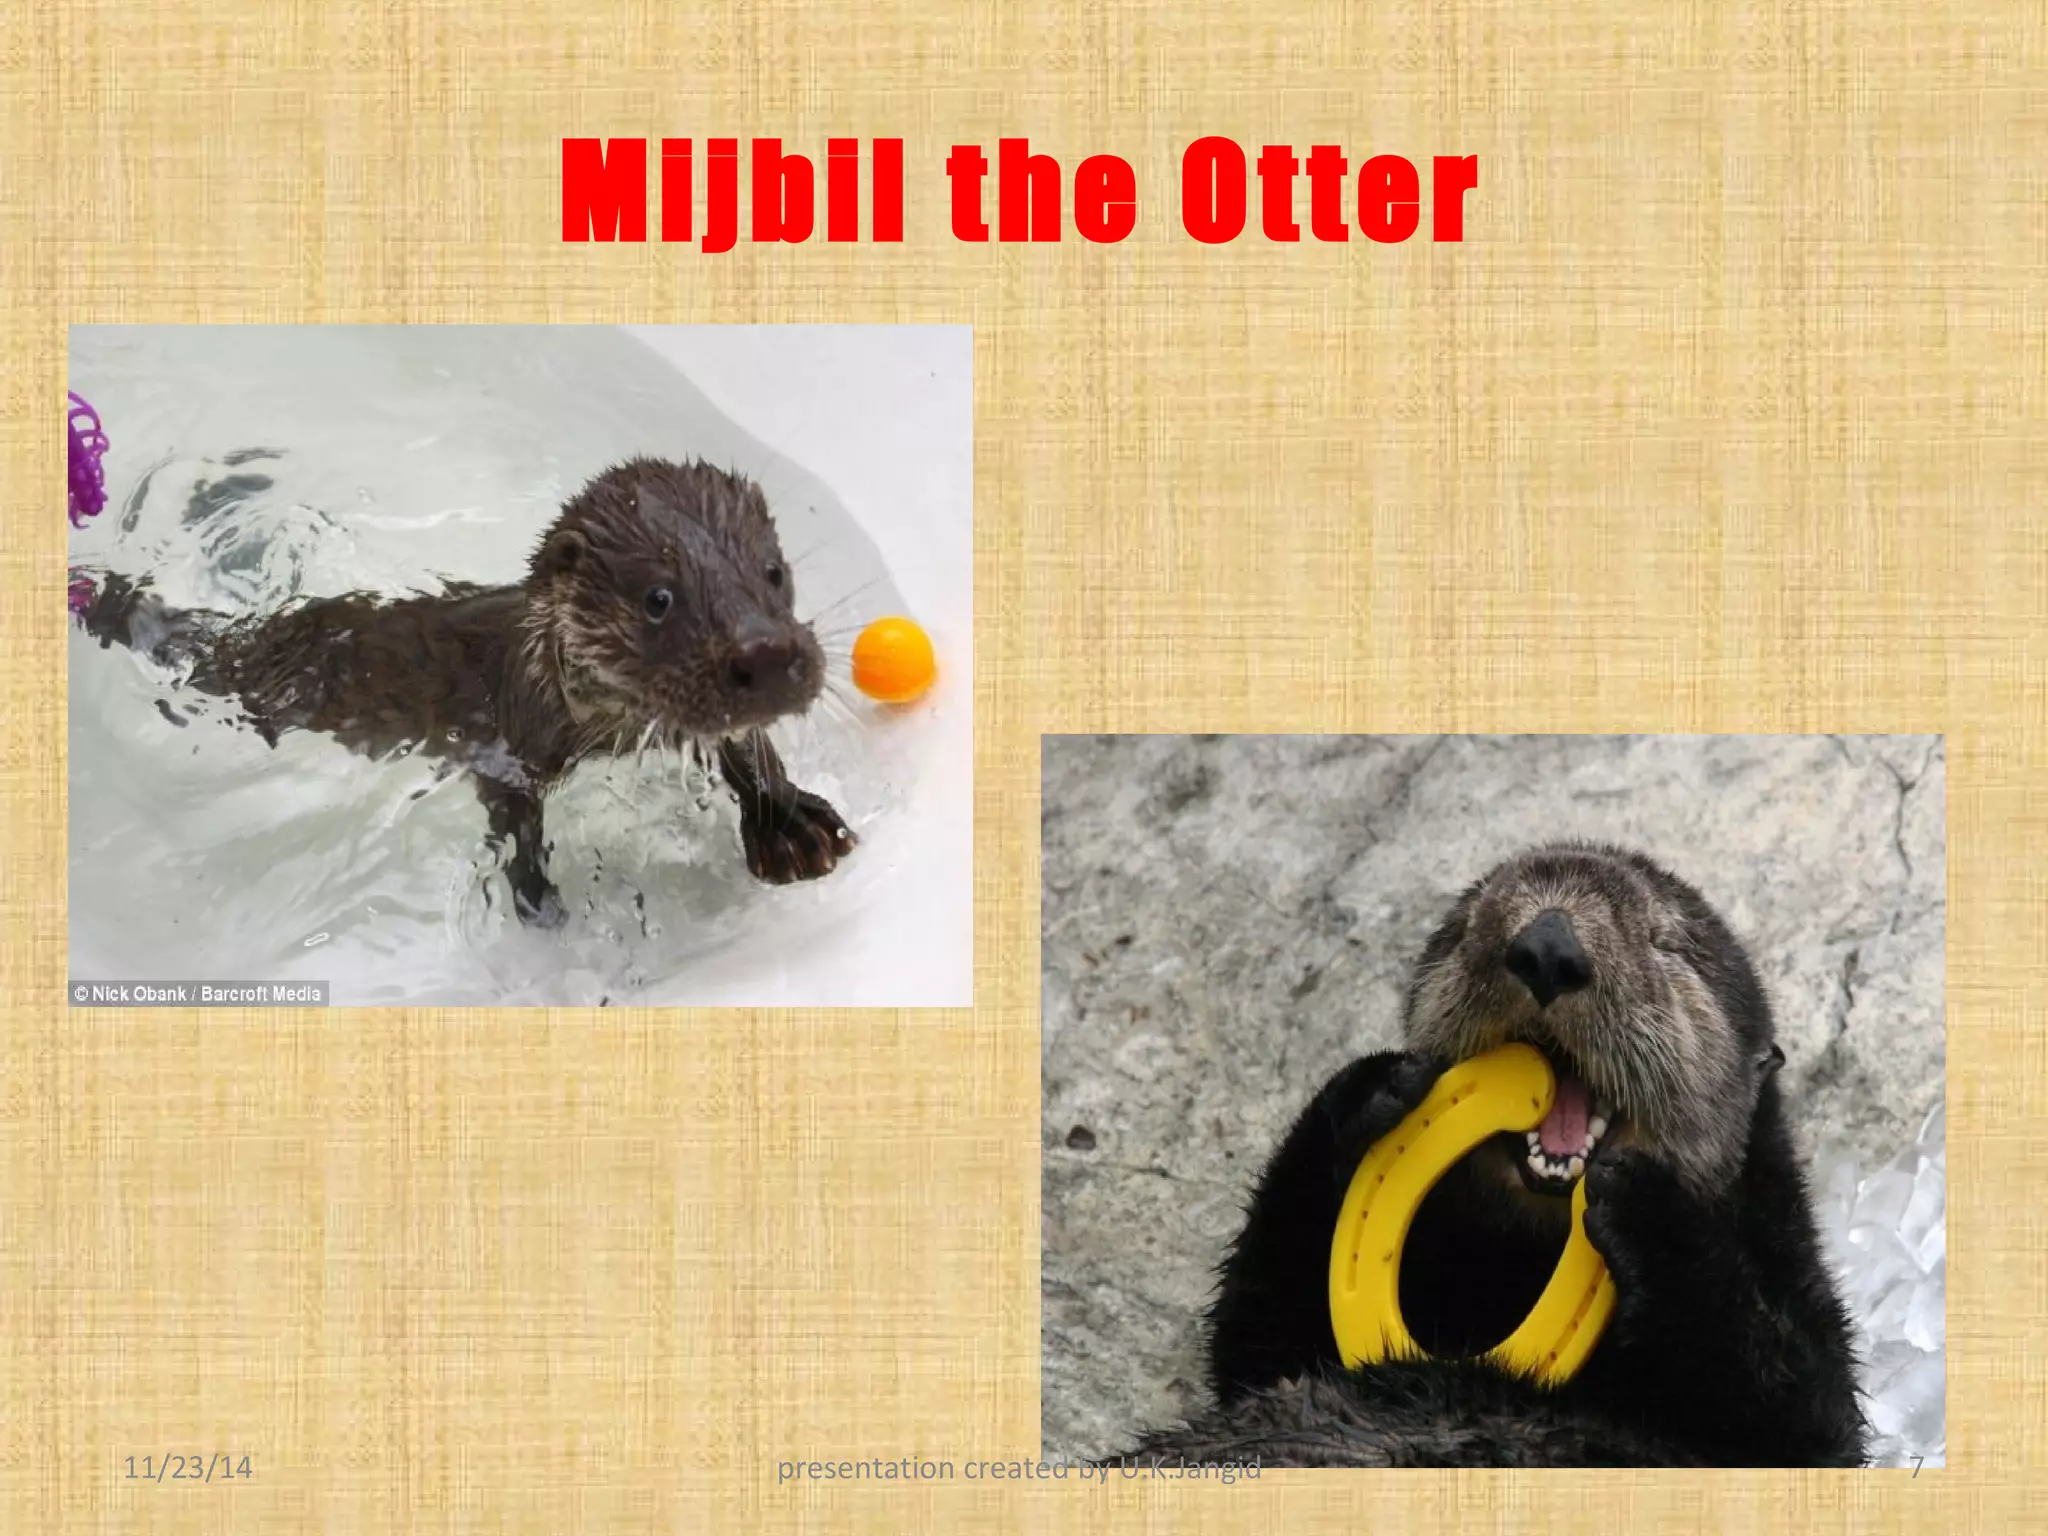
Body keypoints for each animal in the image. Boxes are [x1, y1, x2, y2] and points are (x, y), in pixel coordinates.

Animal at [76, 456, 856, 925]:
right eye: (658, 598)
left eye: (773, 571)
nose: (767, 652)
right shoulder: (505, 746)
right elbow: (513, 822)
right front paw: (540, 901)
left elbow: (742, 745)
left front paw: (791, 822)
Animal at [1110, 843, 1868, 1468]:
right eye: (1468, 922)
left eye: (1666, 942)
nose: (1548, 946)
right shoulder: (1277, 1350)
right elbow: (1256, 1332)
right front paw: (1375, 1086)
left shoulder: (1791, 1296)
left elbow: (1799, 1411)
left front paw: (1644, 1204)